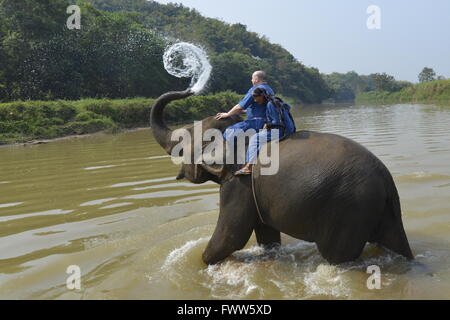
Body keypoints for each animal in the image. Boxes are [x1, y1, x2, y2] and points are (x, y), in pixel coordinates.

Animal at [151, 90, 414, 264]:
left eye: (181, 146)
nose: (190, 89)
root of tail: (386, 180)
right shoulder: (255, 189)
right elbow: (266, 234)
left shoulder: (239, 181)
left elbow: (231, 235)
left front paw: (201, 264)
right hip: (380, 210)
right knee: (393, 243)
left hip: (349, 210)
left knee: (337, 257)